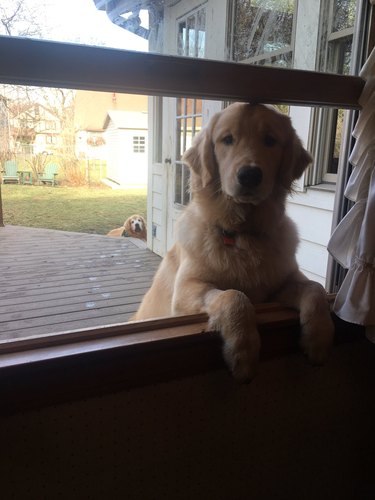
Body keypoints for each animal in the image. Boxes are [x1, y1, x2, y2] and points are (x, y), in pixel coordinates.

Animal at [133, 103, 334, 380]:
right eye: (227, 139)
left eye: (270, 140)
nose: (249, 175)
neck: (242, 233)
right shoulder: (187, 290)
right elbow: (234, 296)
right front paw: (243, 352)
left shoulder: (280, 285)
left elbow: (316, 289)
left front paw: (319, 339)